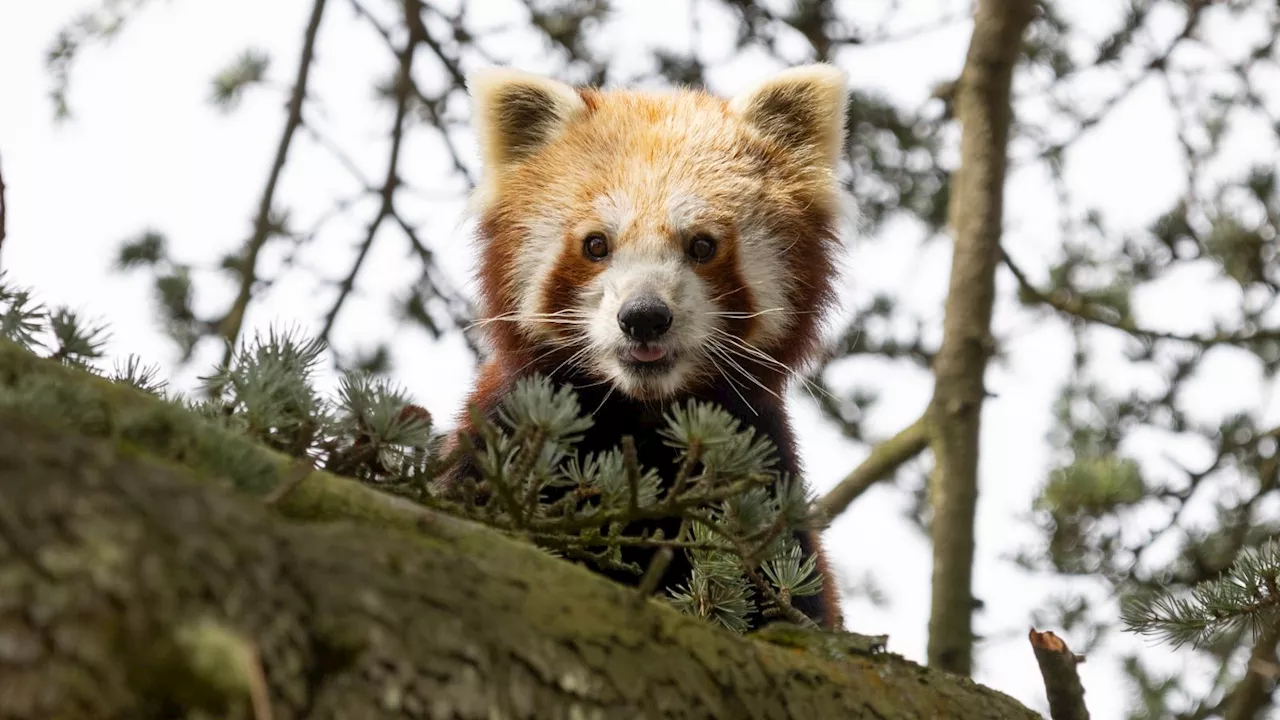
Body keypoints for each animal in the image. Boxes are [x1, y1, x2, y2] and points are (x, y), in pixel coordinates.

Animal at [450, 65, 849, 627]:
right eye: (596, 245)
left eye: (702, 246)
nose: (643, 318)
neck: (640, 417)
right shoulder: (502, 440)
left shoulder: (762, 483)